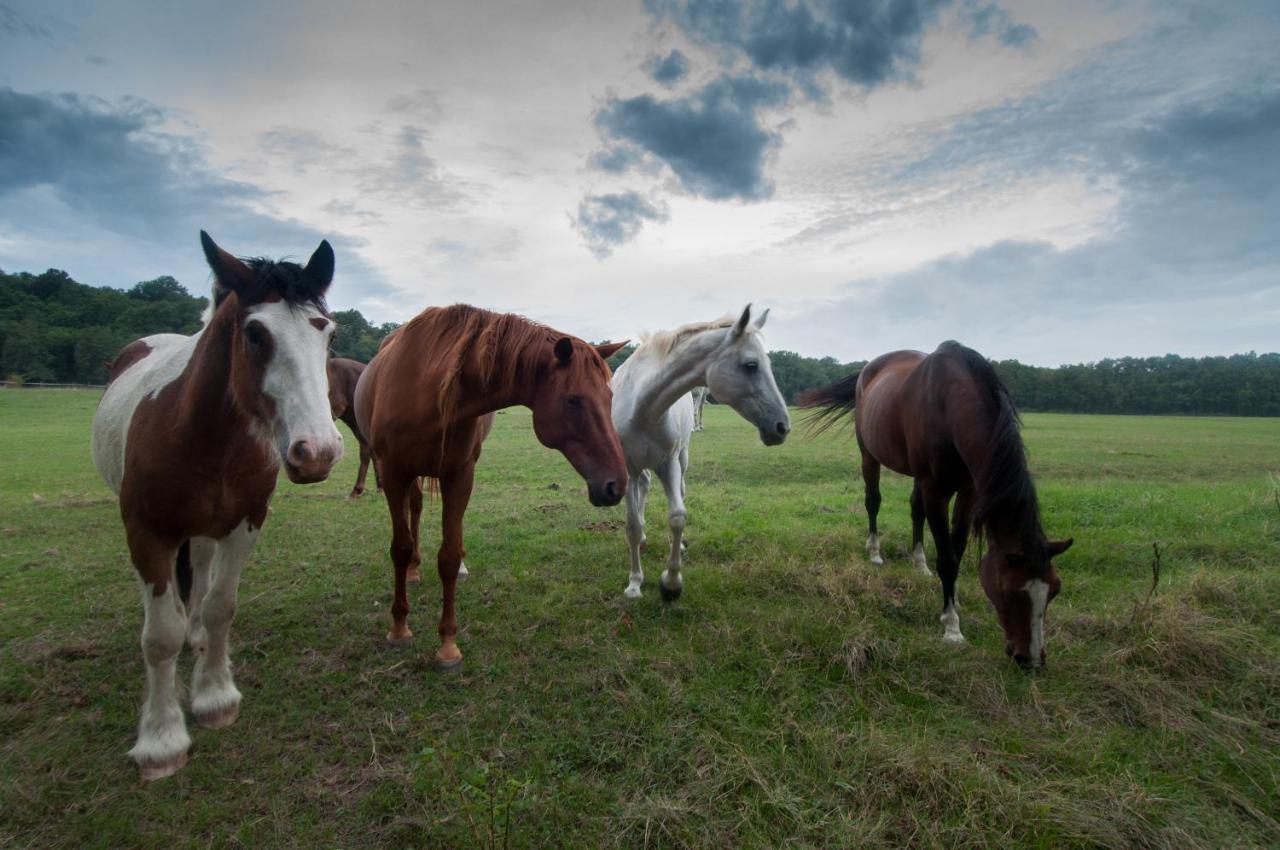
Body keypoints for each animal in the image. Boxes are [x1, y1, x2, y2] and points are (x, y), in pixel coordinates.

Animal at [91, 230, 345, 778]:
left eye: (328, 335)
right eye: (254, 334)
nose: (318, 451)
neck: (206, 436)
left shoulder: (245, 524)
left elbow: (220, 607)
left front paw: (214, 697)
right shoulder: (146, 533)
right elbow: (158, 637)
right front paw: (161, 739)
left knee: (202, 579)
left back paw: (199, 640)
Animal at [355, 305, 629, 670]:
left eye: (609, 397)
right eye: (573, 400)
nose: (616, 484)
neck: (429, 389)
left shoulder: (459, 475)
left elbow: (448, 556)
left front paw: (448, 645)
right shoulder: (392, 473)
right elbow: (399, 549)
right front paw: (399, 628)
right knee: (414, 510)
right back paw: (412, 569)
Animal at [611, 303, 788, 596]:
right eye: (751, 365)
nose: (782, 426)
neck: (643, 407)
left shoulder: (669, 463)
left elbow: (677, 516)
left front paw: (671, 582)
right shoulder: (629, 467)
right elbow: (633, 525)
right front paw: (635, 583)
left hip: (682, 458)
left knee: (677, 491)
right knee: (644, 489)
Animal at [798, 343, 1070, 665]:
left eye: (1054, 590)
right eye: (1010, 591)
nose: (1032, 660)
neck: (951, 407)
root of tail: (867, 370)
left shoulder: (968, 490)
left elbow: (957, 547)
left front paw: (954, 599)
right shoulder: (936, 490)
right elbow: (948, 557)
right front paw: (952, 627)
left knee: (915, 509)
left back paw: (919, 563)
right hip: (869, 456)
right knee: (873, 501)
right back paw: (875, 551)